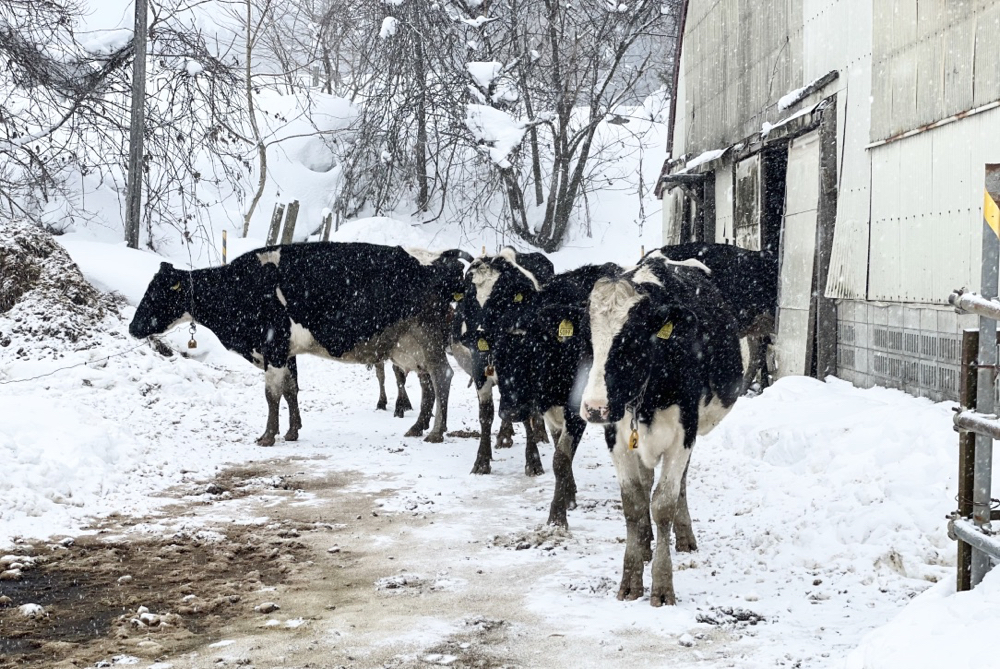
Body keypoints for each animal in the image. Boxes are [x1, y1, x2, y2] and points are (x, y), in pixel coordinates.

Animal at [130, 240, 472, 444]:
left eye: (156, 293)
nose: (133, 327)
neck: (240, 287)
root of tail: (440, 258)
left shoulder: (273, 347)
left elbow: (271, 395)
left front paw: (268, 436)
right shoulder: (286, 352)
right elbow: (291, 390)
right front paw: (292, 431)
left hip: (426, 338)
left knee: (442, 377)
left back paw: (435, 432)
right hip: (410, 345)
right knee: (428, 383)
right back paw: (418, 427)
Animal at [454, 247, 556, 474]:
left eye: (498, 298)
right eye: (470, 299)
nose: (477, 334)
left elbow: (528, 413)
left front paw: (533, 462)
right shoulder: (480, 369)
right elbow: (486, 415)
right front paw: (482, 461)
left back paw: (539, 433)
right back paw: (504, 435)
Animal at [580, 256, 744, 604]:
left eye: (631, 338)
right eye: (589, 336)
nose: (595, 407)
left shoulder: (683, 435)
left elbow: (664, 504)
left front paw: (662, 584)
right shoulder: (616, 437)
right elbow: (633, 502)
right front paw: (631, 576)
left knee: (679, 484)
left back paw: (683, 536)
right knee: (645, 485)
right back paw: (644, 544)